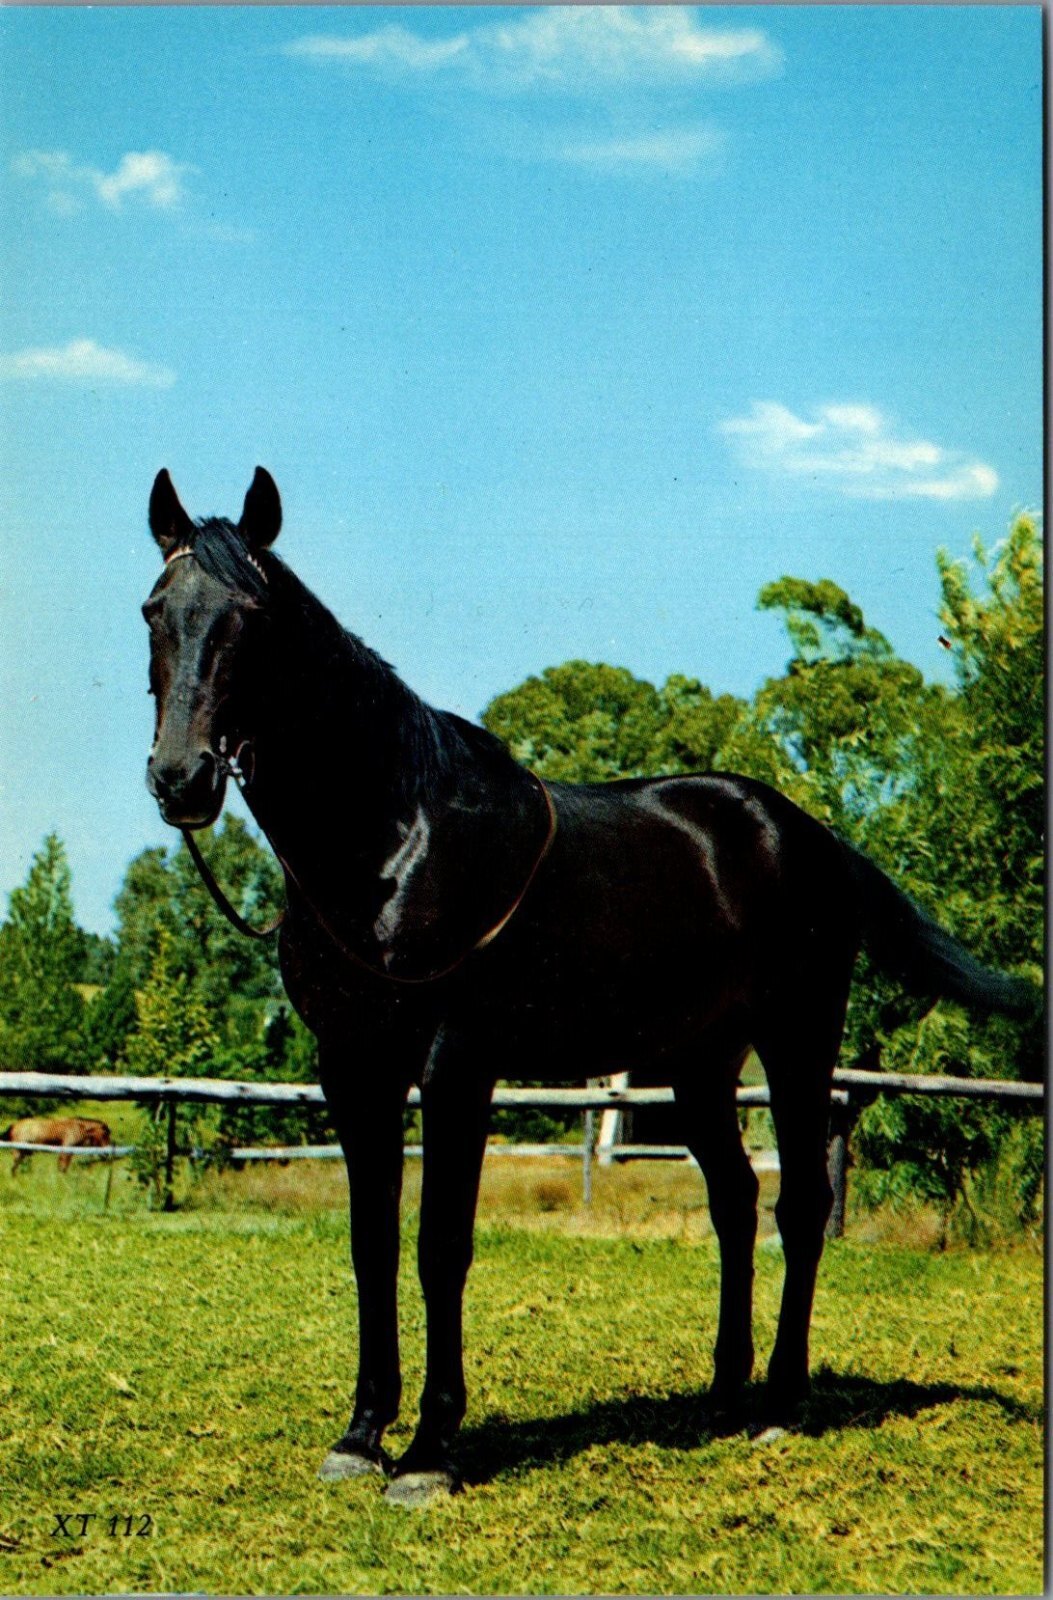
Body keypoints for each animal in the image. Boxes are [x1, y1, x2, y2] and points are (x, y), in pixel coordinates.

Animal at [141, 466, 1034, 1505]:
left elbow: (439, 1246)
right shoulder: (352, 1067)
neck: (393, 840)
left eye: (251, 617)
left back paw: (778, 1403)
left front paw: (429, 1453)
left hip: (797, 1039)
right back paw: (720, 1396)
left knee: (798, 1205)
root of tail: (809, 837)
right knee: (734, 1200)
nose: (180, 778)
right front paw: (361, 1436)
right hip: (698, 1063)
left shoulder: (454, 1066)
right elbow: (371, 1244)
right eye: (155, 610)